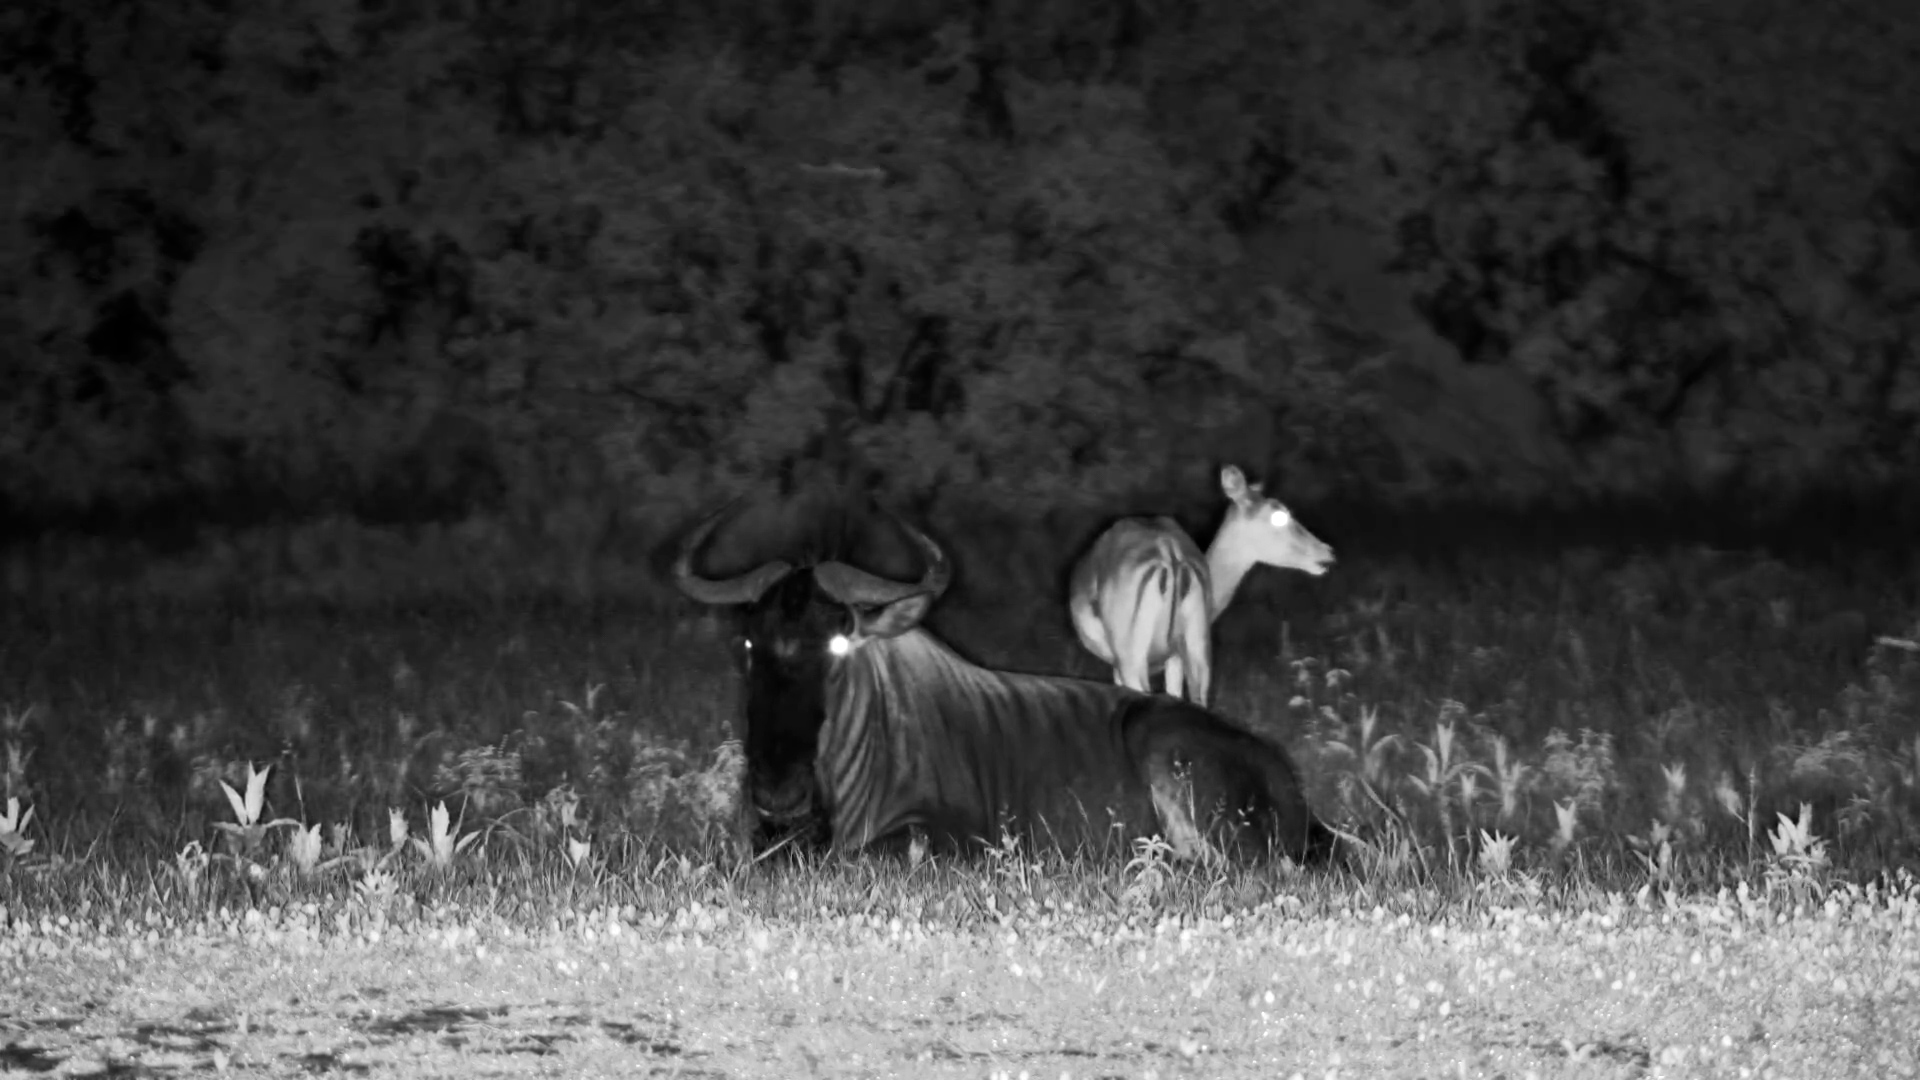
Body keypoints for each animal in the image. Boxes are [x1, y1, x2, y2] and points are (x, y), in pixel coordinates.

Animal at [1068, 465, 1334, 706]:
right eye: (1278, 516)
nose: (1327, 553)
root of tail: (1170, 554)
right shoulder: (1175, 658)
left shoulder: (1125, 665)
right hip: (1197, 654)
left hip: (1133, 661)